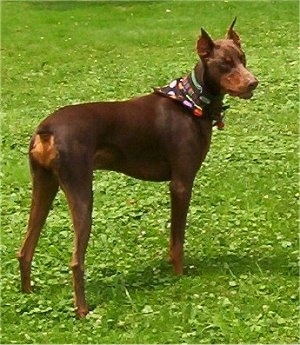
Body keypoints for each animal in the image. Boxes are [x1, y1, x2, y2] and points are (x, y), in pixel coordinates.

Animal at [18, 17, 258, 316]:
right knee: (75, 260)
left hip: (44, 186)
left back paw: (28, 293)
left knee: (25, 248)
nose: (253, 83)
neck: (190, 101)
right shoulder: (181, 184)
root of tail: (46, 129)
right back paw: (83, 311)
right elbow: (177, 241)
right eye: (225, 64)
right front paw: (179, 276)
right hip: (81, 190)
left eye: (243, 58)